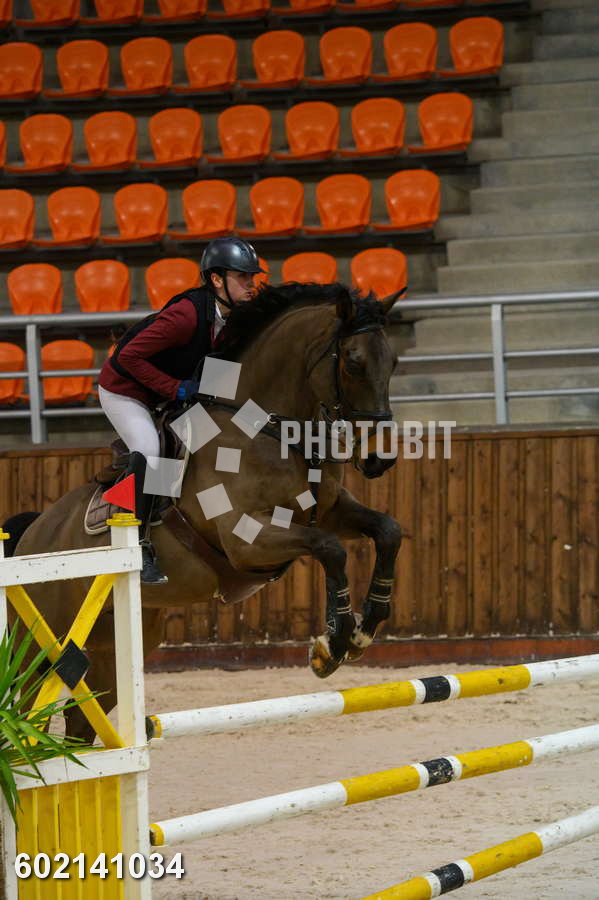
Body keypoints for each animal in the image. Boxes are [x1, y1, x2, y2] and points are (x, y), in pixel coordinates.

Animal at [7, 282, 403, 741]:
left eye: (393, 361)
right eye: (353, 362)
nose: (379, 458)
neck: (267, 429)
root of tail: (32, 537)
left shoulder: (331, 511)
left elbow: (387, 531)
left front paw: (365, 626)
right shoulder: (247, 541)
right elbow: (330, 549)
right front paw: (333, 644)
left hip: (112, 645)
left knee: (81, 724)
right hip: (38, 644)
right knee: (26, 704)